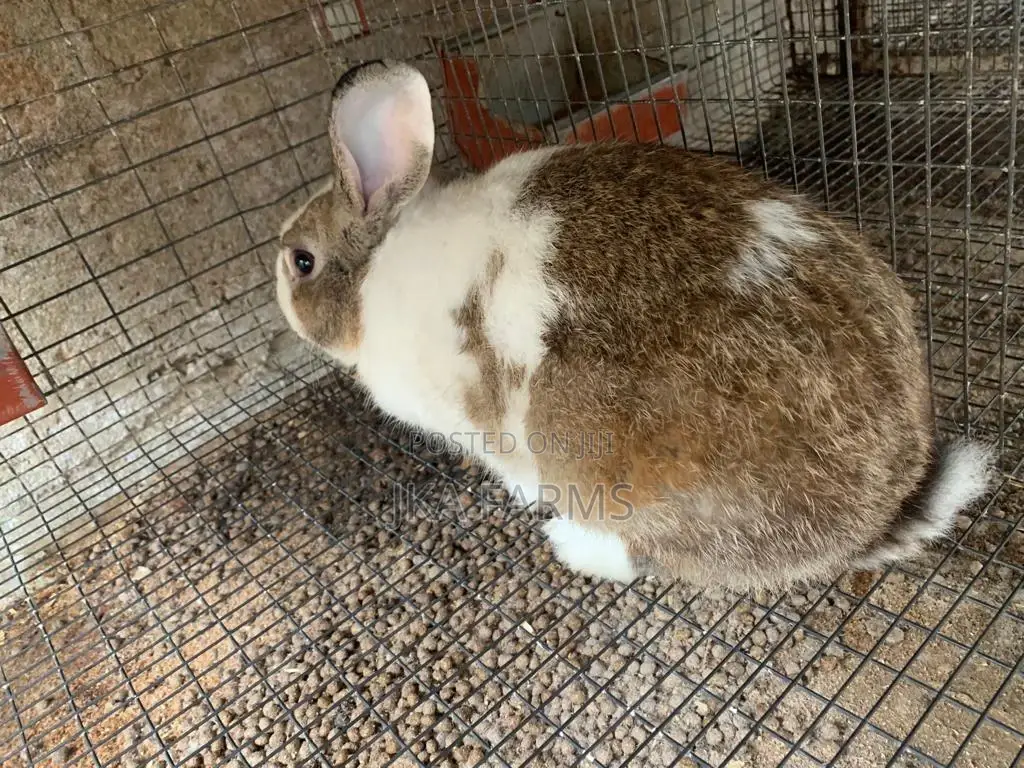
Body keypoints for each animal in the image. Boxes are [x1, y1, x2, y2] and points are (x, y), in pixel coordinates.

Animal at [275, 59, 995, 591]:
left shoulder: (481, 426)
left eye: (301, 261)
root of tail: (876, 515)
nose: (279, 285)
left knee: (639, 554)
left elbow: (511, 467)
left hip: (596, 454)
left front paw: (523, 500)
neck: (374, 272)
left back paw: (566, 543)